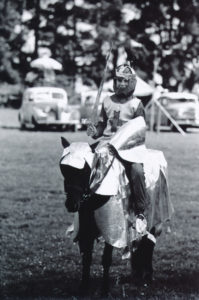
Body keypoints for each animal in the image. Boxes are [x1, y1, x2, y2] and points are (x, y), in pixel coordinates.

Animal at [59, 117, 174, 296]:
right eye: (63, 168)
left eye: (85, 169)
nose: (71, 204)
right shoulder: (86, 230)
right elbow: (87, 258)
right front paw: (83, 287)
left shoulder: (112, 231)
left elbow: (106, 259)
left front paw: (105, 290)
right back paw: (137, 275)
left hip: (155, 219)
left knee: (149, 244)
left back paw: (147, 277)